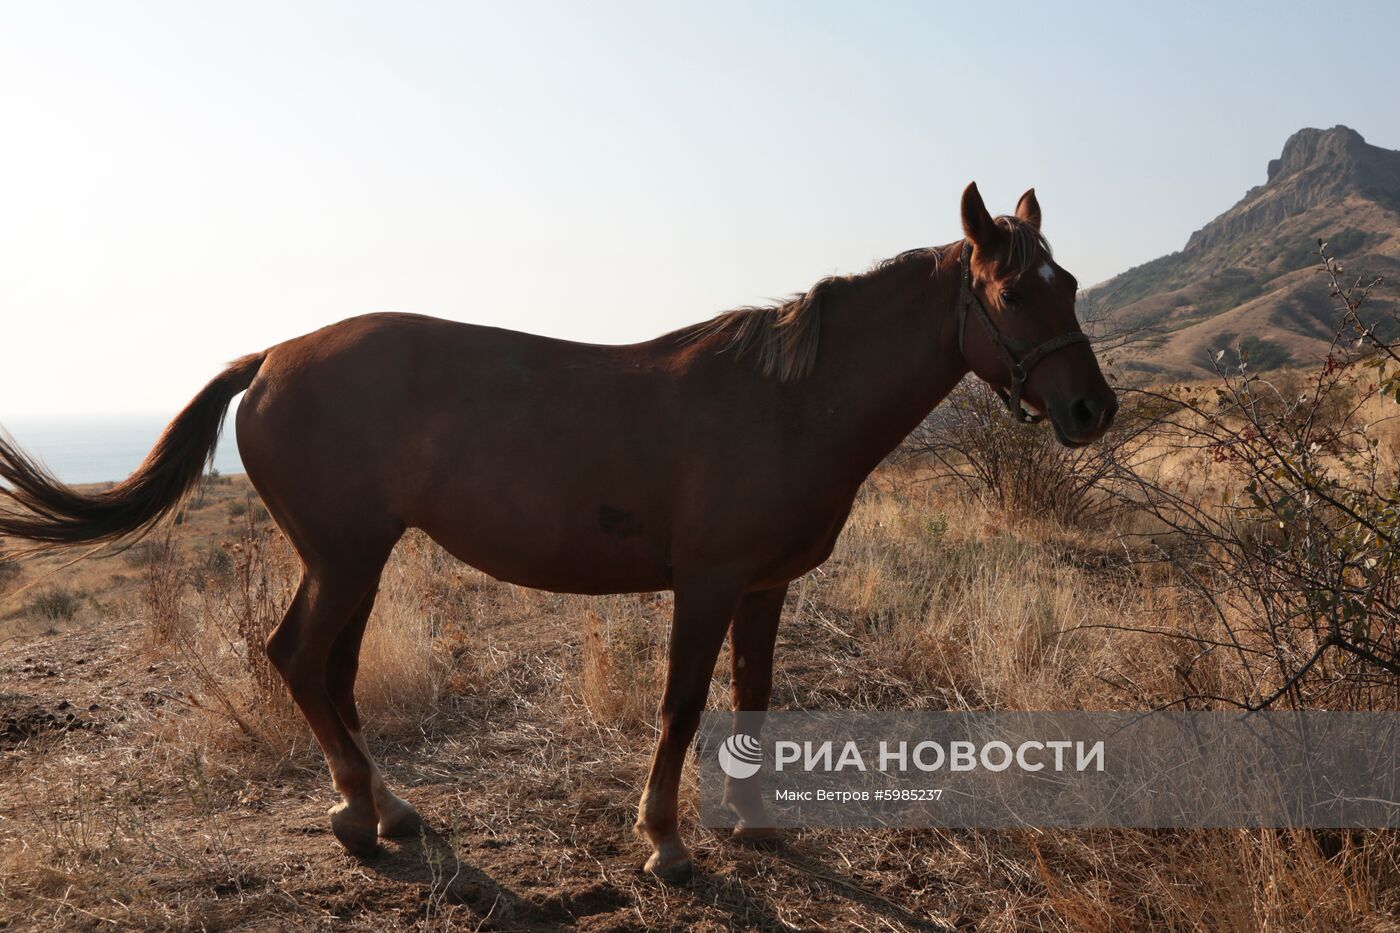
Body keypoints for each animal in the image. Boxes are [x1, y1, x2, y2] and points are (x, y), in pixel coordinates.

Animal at [0, 183, 1114, 879]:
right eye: (1013, 290)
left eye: (1066, 285)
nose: (1090, 409)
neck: (788, 399)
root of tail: (271, 356)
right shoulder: (708, 582)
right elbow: (681, 706)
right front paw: (665, 841)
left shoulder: (766, 586)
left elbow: (753, 699)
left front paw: (756, 825)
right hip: (345, 555)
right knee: (300, 659)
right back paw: (362, 815)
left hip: (355, 559)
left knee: (330, 671)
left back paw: (381, 808)